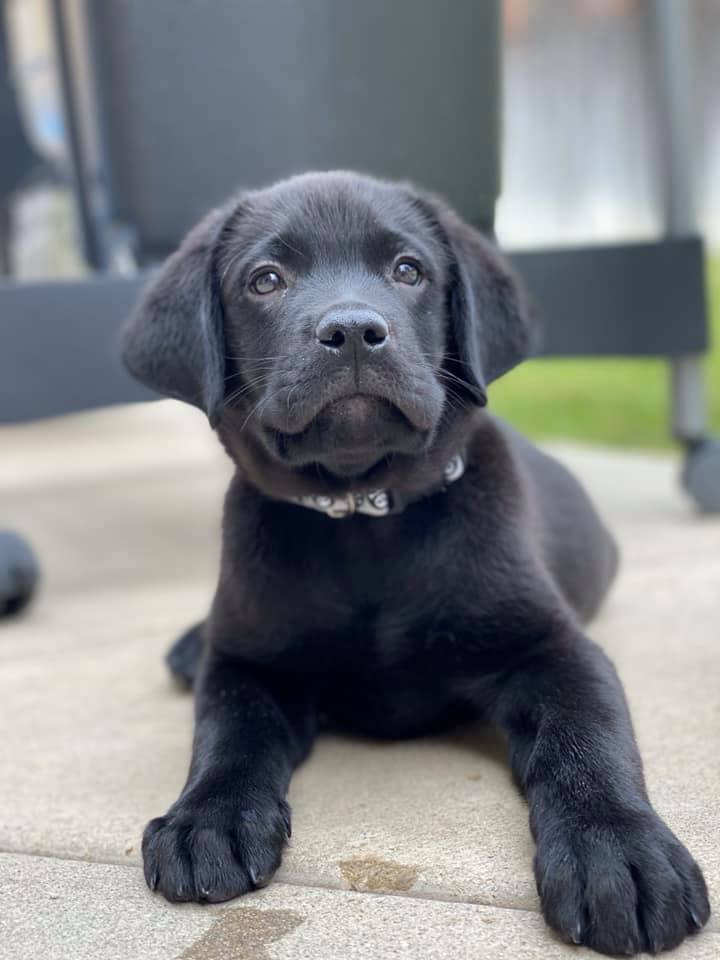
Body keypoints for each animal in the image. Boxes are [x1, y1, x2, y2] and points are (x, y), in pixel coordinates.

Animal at [124, 171, 708, 952]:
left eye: (409, 270)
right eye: (265, 279)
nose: (351, 331)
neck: (365, 515)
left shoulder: (555, 647)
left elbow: (588, 739)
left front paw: (619, 850)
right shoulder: (250, 661)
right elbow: (227, 732)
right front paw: (206, 818)